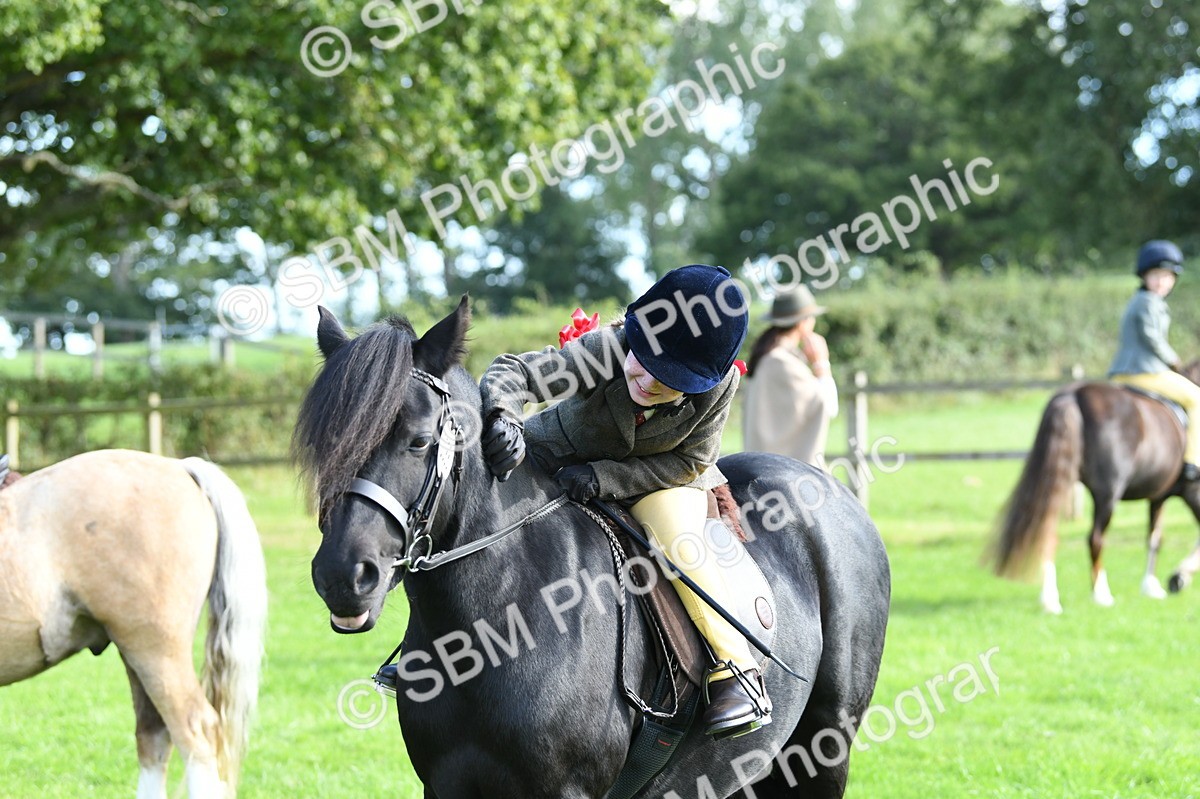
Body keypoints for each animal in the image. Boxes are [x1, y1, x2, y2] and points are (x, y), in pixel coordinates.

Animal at [294, 300, 890, 798]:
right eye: (325, 445)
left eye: (419, 440)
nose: (343, 577)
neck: (497, 620)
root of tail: (830, 488)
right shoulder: (444, 788)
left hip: (823, 748)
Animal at [991, 362, 1200, 613]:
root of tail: (1073, 395)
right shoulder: (1191, 492)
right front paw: (1178, 577)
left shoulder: (1158, 497)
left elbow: (1154, 539)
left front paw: (1152, 586)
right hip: (1107, 495)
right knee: (1096, 539)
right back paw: (1101, 594)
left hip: (1061, 484)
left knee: (1048, 533)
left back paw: (1050, 599)